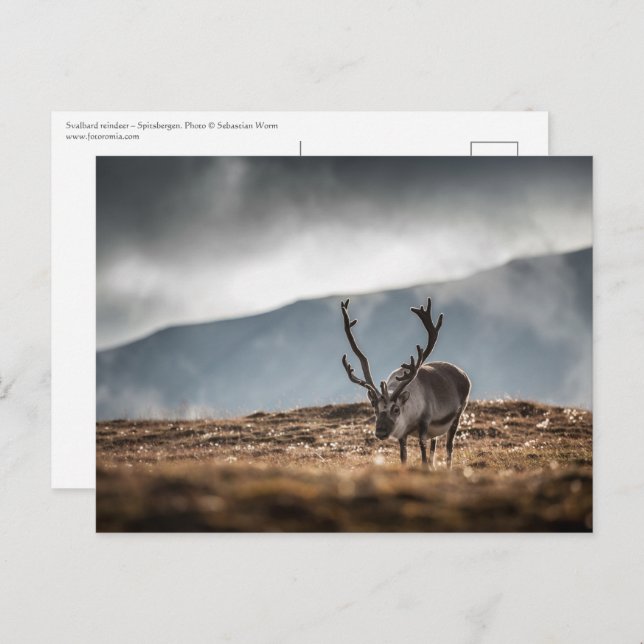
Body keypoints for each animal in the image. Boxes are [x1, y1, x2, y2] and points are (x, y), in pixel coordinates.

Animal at [340, 298, 471, 469]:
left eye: (396, 409)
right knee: (434, 444)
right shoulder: (403, 435)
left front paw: (425, 468)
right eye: (374, 407)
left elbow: (422, 452)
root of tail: (464, 374)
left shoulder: (425, 422)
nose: (380, 431)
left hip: (457, 416)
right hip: (436, 431)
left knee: (449, 445)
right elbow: (403, 456)